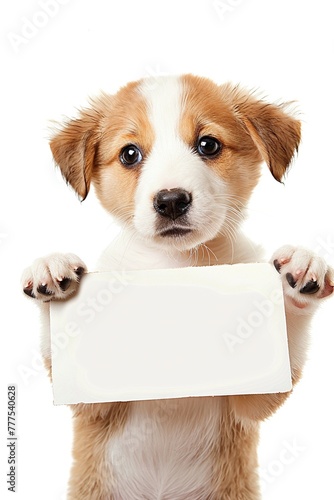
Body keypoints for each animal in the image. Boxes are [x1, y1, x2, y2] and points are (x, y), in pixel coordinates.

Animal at [22, 75, 332, 500]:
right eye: (130, 154)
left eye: (208, 145)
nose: (171, 201)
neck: (176, 265)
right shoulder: (95, 407)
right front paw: (51, 269)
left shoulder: (248, 404)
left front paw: (299, 276)